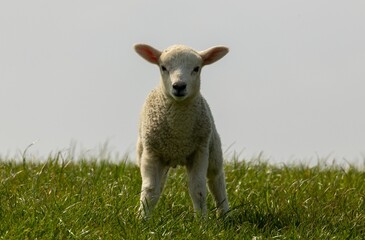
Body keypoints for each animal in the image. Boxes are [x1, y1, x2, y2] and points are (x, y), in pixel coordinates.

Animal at [134, 42, 229, 218]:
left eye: (196, 68)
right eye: (163, 67)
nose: (179, 86)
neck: (178, 133)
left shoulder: (200, 151)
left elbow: (198, 189)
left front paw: (202, 220)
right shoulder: (151, 152)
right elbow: (150, 190)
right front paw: (141, 218)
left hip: (213, 149)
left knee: (216, 180)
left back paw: (225, 214)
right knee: (159, 185)